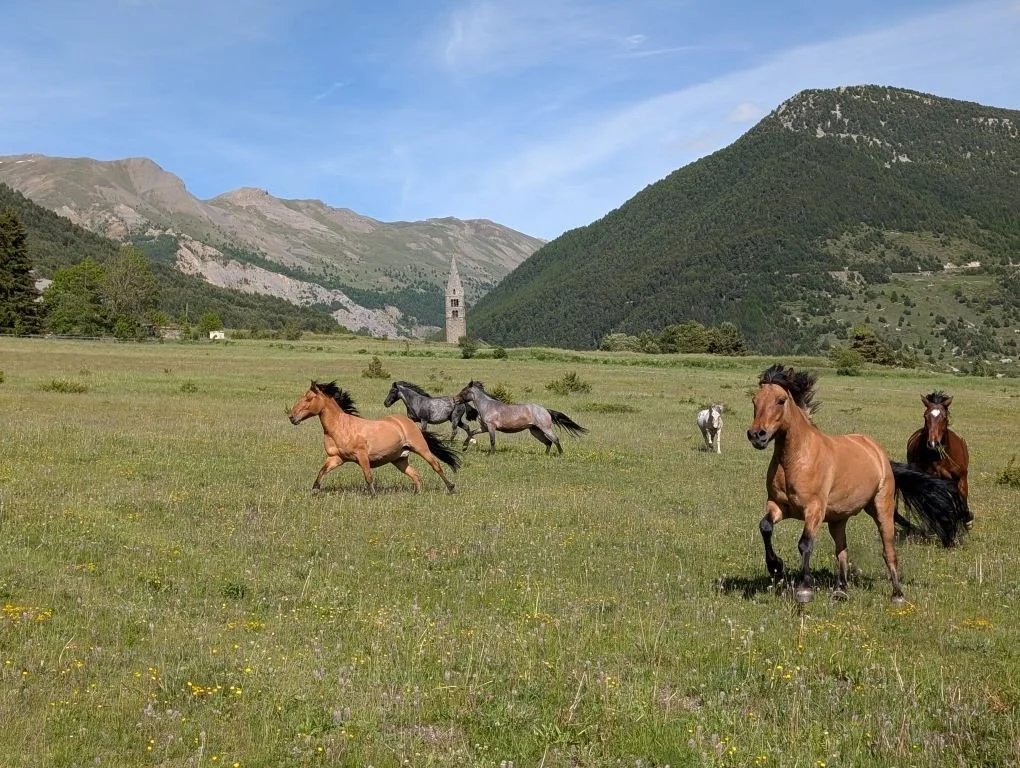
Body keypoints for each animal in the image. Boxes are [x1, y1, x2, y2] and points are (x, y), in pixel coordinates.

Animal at [288, 381, 460, 495]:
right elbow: (321, 473)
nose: (291, 417)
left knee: (436, 466)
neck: (341, 428)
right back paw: (417, 494)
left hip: (421, 449)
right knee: (416, 475)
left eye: (308, 398)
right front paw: (314, 492)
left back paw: (451, 488)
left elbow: (368, 476)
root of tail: (408, 422)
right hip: (399, 459)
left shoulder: (362, 455)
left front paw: (373, 496)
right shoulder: (336, 458)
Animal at [455, 380, 588, 455]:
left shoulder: (491, 427)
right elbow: (471, 432)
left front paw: (491, 454)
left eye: (464, 391)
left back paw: (560, 454)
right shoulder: (485, 428)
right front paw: (464, 447)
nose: (455, 400)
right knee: (548, 442)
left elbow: (492, 440)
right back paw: (546, 455)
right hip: (535, 431)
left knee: (555, 439)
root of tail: (546, 410)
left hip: (545, 428)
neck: (487, 406)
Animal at [905, 391, 973, 532]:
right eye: (925, 416)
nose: (932, 443)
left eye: (944, 417)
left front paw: (967, 520)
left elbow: (963, 498)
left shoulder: (961, 479)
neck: (940, 458)